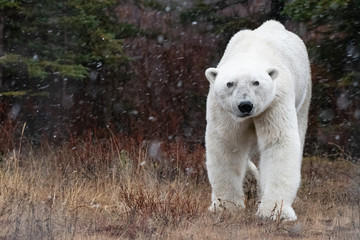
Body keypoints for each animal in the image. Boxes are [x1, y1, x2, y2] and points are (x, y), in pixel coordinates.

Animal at [204, 20, 310, 221]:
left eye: (256, 82)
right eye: (230, 83)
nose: (245, 105)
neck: (250, 51)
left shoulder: (275, 100)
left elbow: (278, 141)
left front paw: (275, 212)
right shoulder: (222, 108)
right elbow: (227, 143)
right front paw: (225, 206)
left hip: (304, 94)